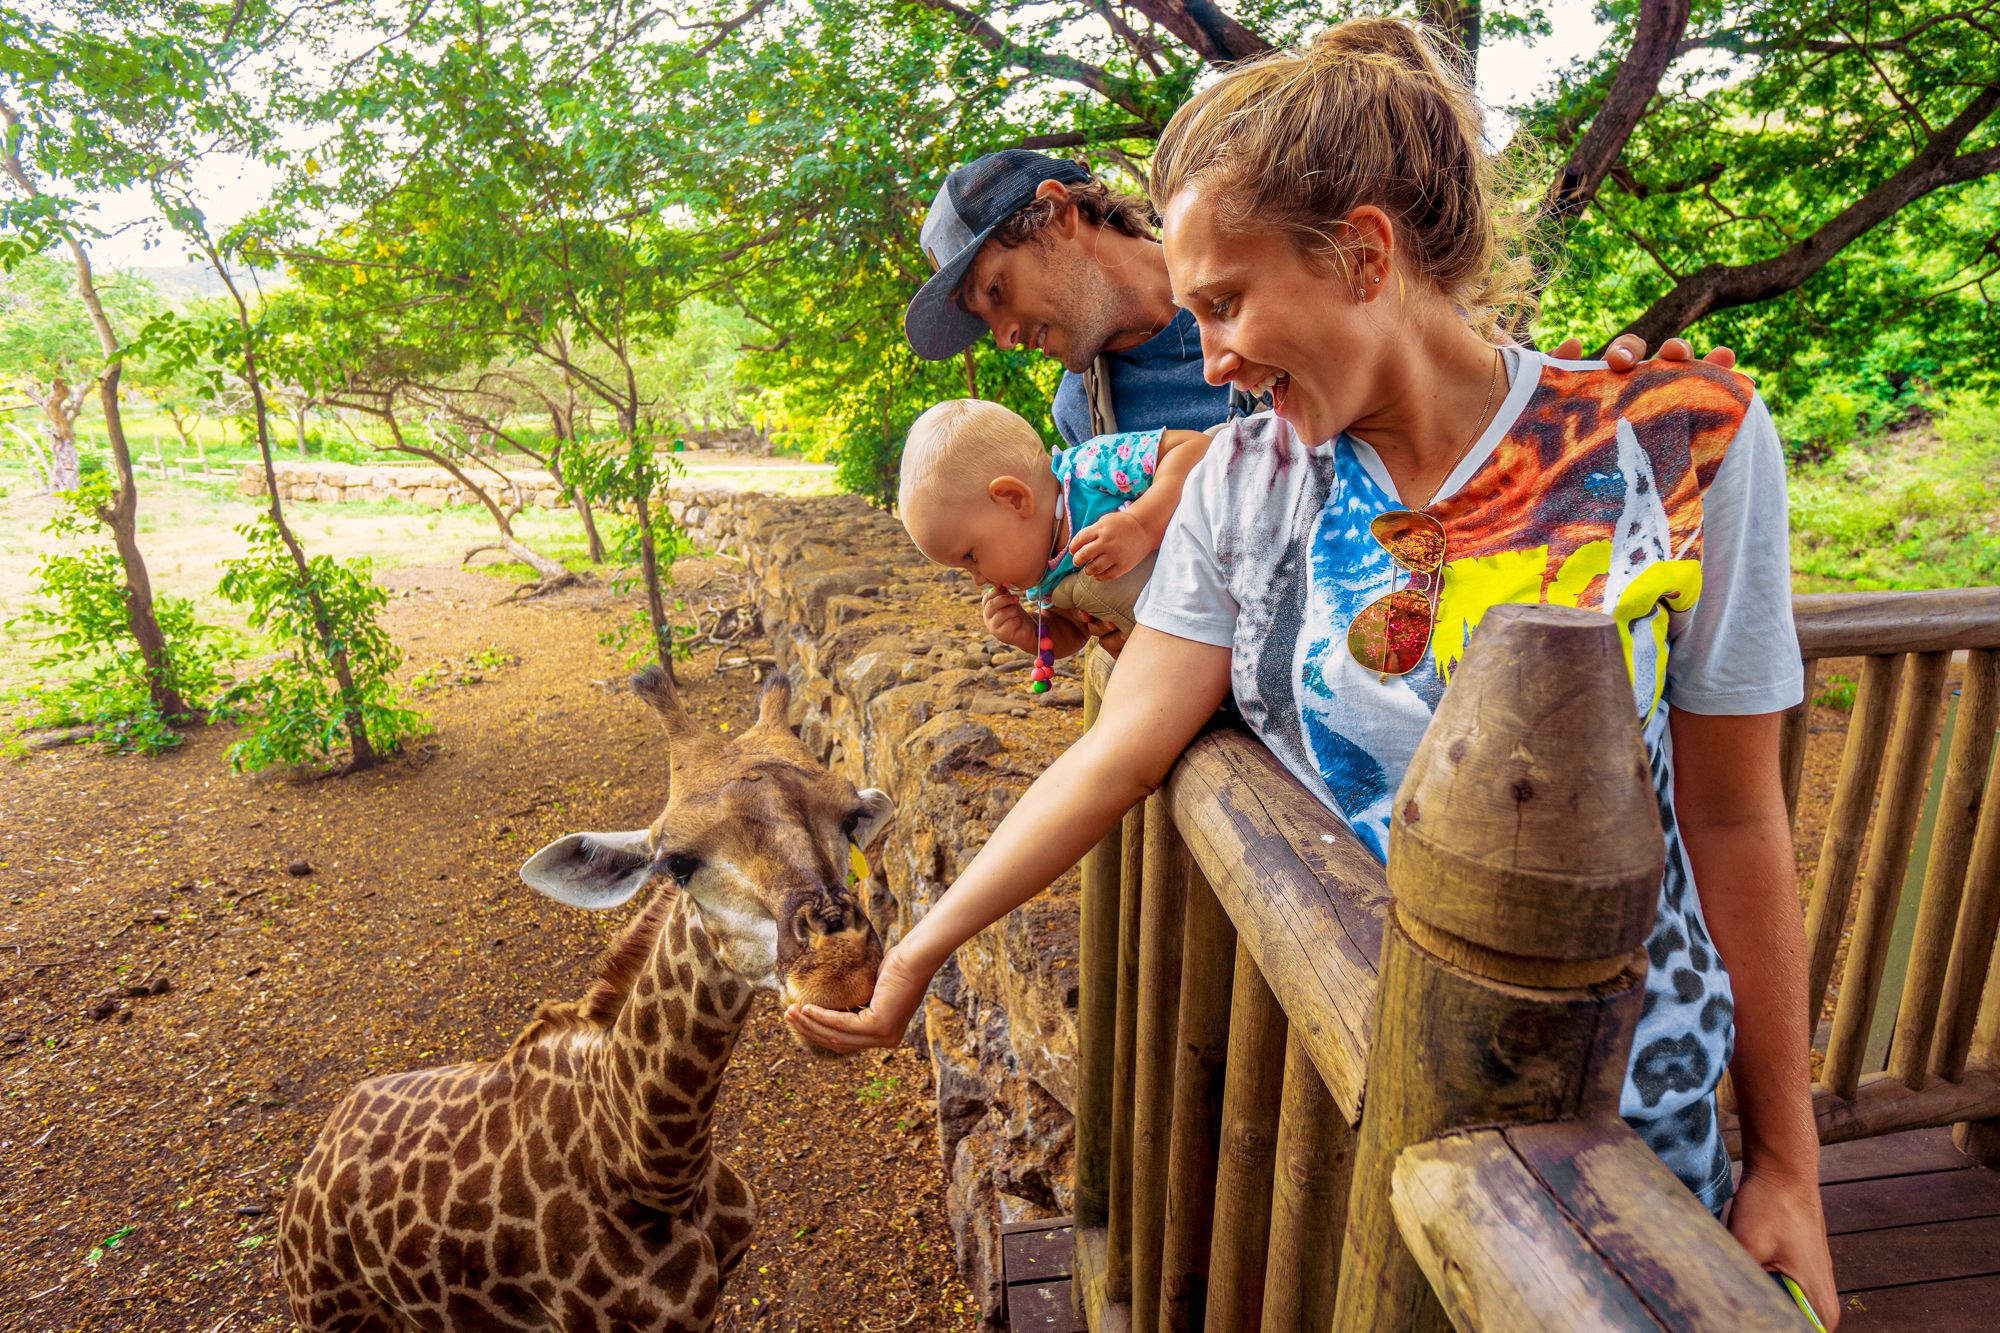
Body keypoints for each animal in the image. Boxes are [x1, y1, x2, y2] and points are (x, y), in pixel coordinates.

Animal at [274, 664, 892, 1328]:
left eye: (851, 820)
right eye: (677, 863)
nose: (841, 973)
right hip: (334, 1314)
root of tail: (308, 1172)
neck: (652, 1170)